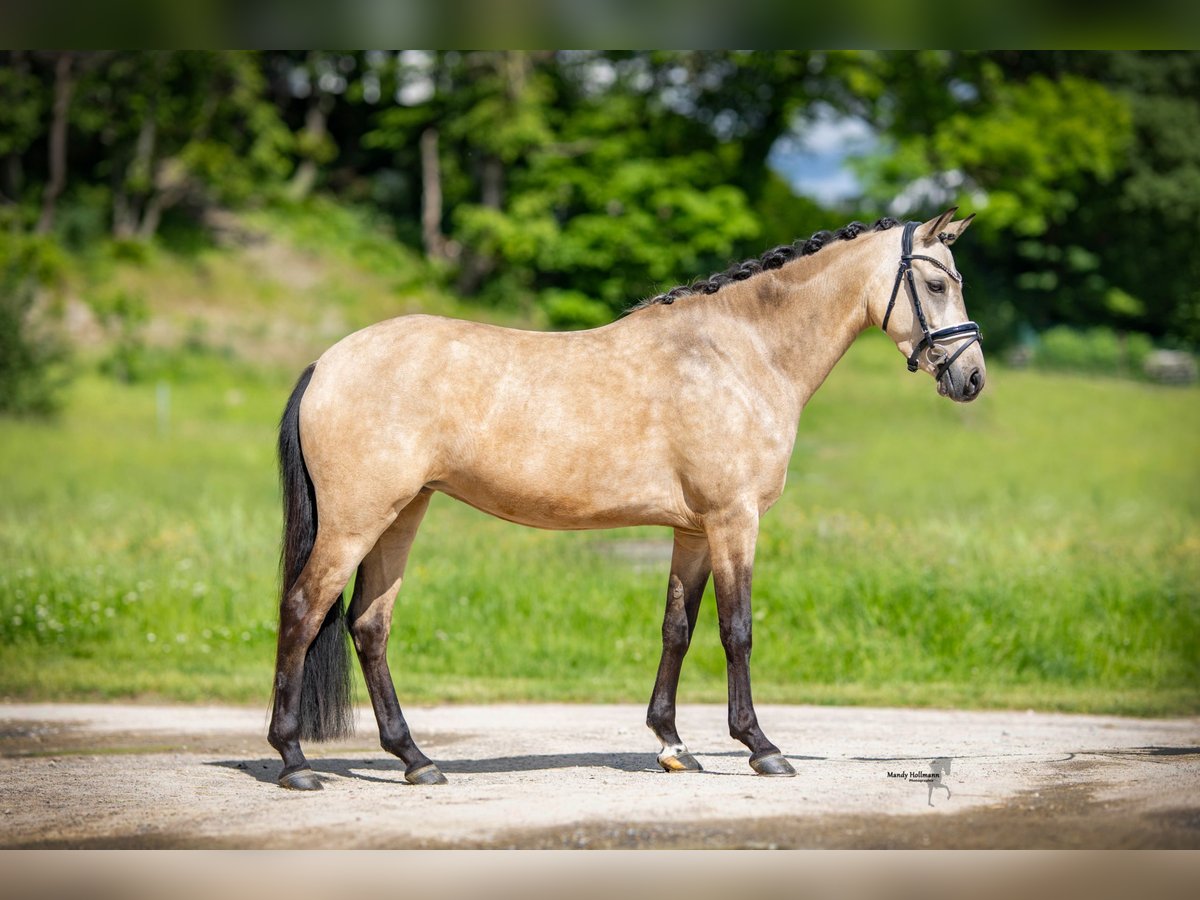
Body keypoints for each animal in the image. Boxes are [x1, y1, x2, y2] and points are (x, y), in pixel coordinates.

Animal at [270, 210, 984, 787]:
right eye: (937, 284)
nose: (972, 378)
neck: (740, 352)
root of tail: (326, 364)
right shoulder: (734, 521)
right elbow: (737, 630)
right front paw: (760, 747)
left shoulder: (693, 531)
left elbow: (677, 628)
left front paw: (671, 744)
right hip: (356, 521)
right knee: (303, 611)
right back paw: (295, 760)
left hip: (402, 514)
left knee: (369, 625)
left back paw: (416, 760)